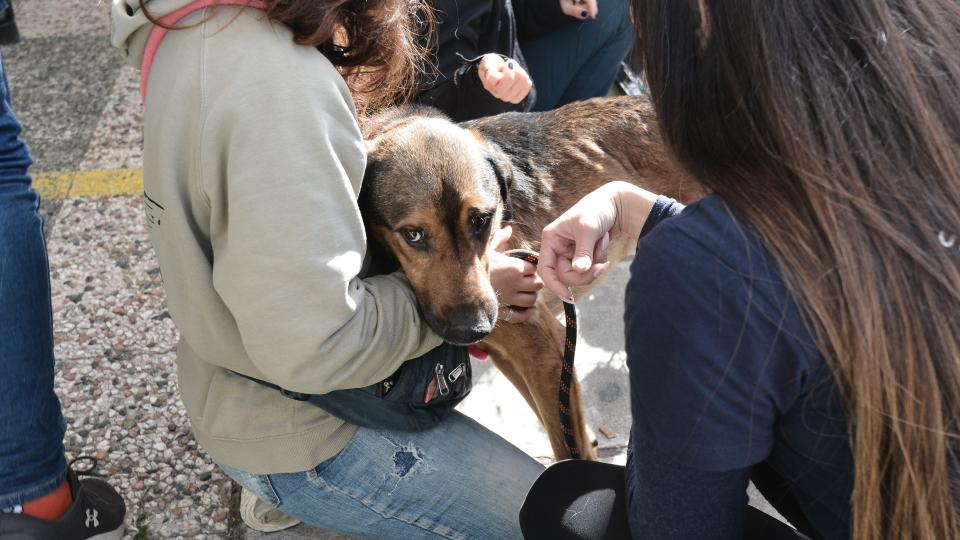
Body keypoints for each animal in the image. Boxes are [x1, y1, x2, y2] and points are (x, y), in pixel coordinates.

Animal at [358, 96, 696, 460]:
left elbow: (569, 448)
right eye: (413, 235)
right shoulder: (514, 354)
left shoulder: (546, 349)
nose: (473, 329)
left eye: (482, 219)